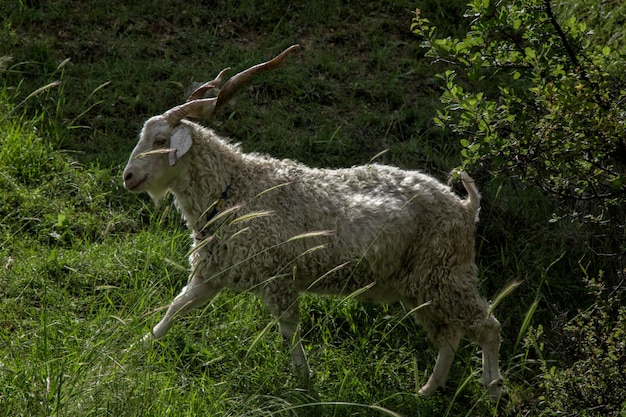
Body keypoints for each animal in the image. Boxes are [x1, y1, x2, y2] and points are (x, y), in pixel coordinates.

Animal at [122, 44, 502, 396]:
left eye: (160, 140)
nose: (128, 177)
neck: (236, 188)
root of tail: (466, 207)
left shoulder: (279, 277)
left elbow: (290, 331)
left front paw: (304, 381)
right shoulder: (214, 271)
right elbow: (177, 307)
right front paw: (137, 346)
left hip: (446, 274)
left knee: (487, 327)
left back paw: (494, 389)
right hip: (421, 285)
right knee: (450, 336)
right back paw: (427, 391)